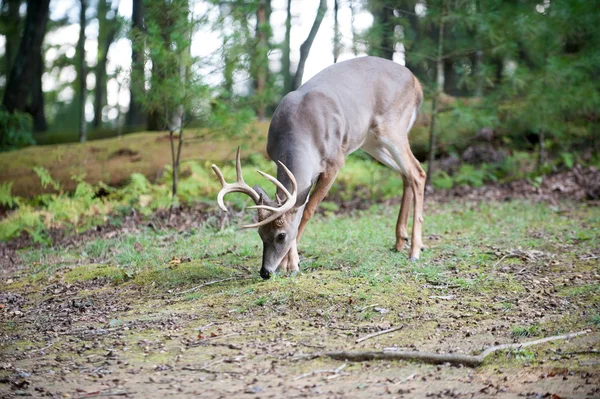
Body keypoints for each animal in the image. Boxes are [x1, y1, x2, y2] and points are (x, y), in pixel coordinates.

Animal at [211, 56, 426, 282]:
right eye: (260, 234)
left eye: (281, 235)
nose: (265, 272)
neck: (300, 131)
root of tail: (416, 82)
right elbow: (298, 206)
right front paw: (287, 264)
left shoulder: (335, 160)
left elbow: (307, 210)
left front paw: (292, 265)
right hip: (371, 141)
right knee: (405, 174)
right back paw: (400, 240)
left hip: (393, 127)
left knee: (417, 172)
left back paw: (415, 250)